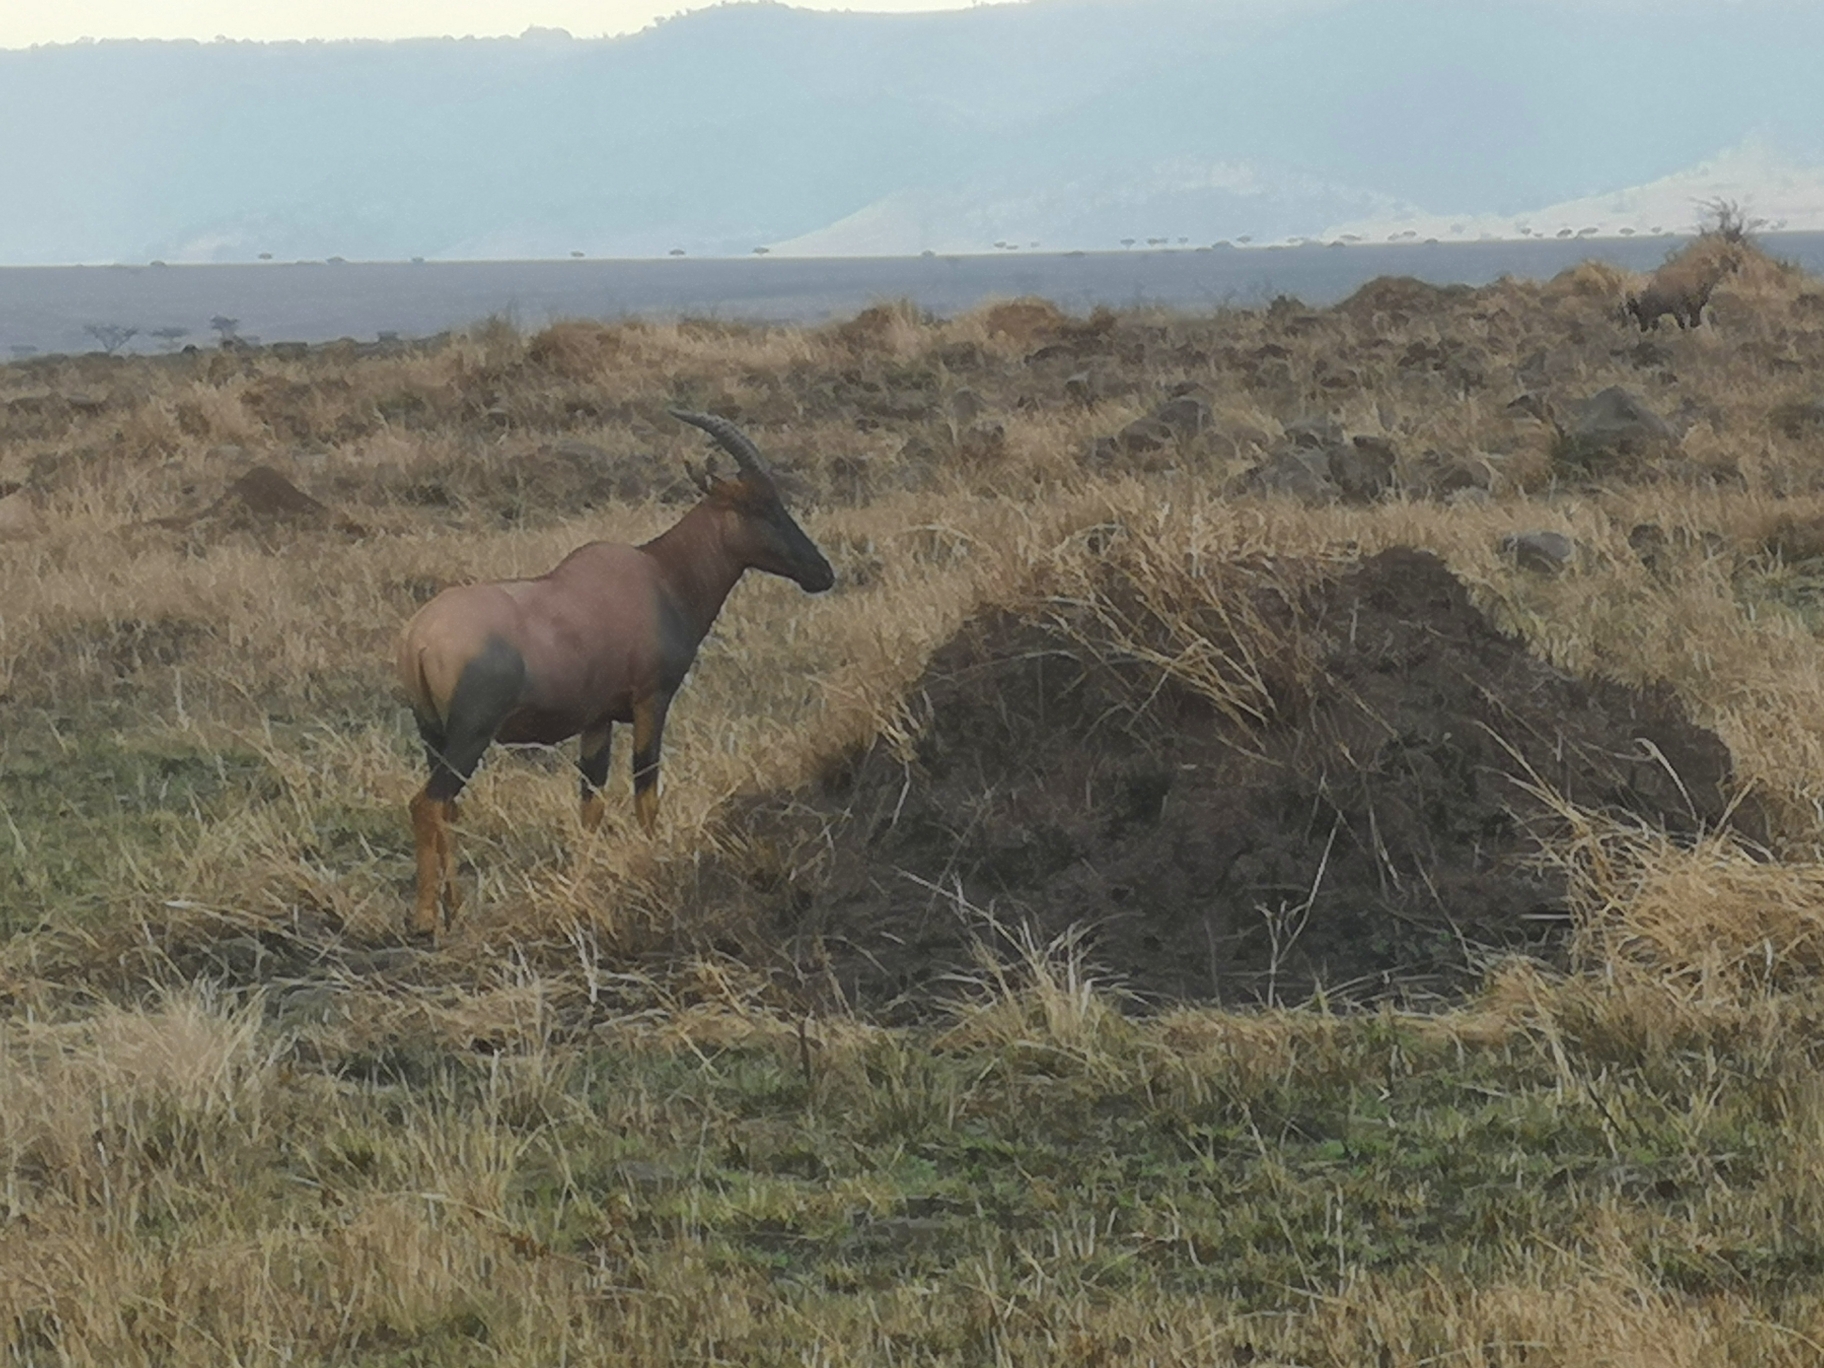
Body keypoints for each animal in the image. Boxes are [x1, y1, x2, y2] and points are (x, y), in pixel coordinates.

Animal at [399, 412, 835, 941]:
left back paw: (454, 910)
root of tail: (419, 635)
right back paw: (425, 919)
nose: (822, 573)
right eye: (757, 504)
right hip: (470, 736)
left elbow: (591, 803)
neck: (659, 575)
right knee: (427, 804)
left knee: (446, 811)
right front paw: (656, 860)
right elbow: (646, 789)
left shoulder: (598, 719)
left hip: (434, 736)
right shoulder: (652, 701)